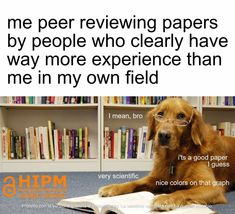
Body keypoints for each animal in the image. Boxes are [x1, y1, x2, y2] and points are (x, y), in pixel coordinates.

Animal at [98, 98, 235, 211]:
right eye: (160, 114)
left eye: (181, 116)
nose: (163, 135)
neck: (175, 157)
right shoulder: (155, 177)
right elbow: (133, 182)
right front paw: (113, 187)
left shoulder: (212, 188)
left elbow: (184, 192)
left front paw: (166, 198)